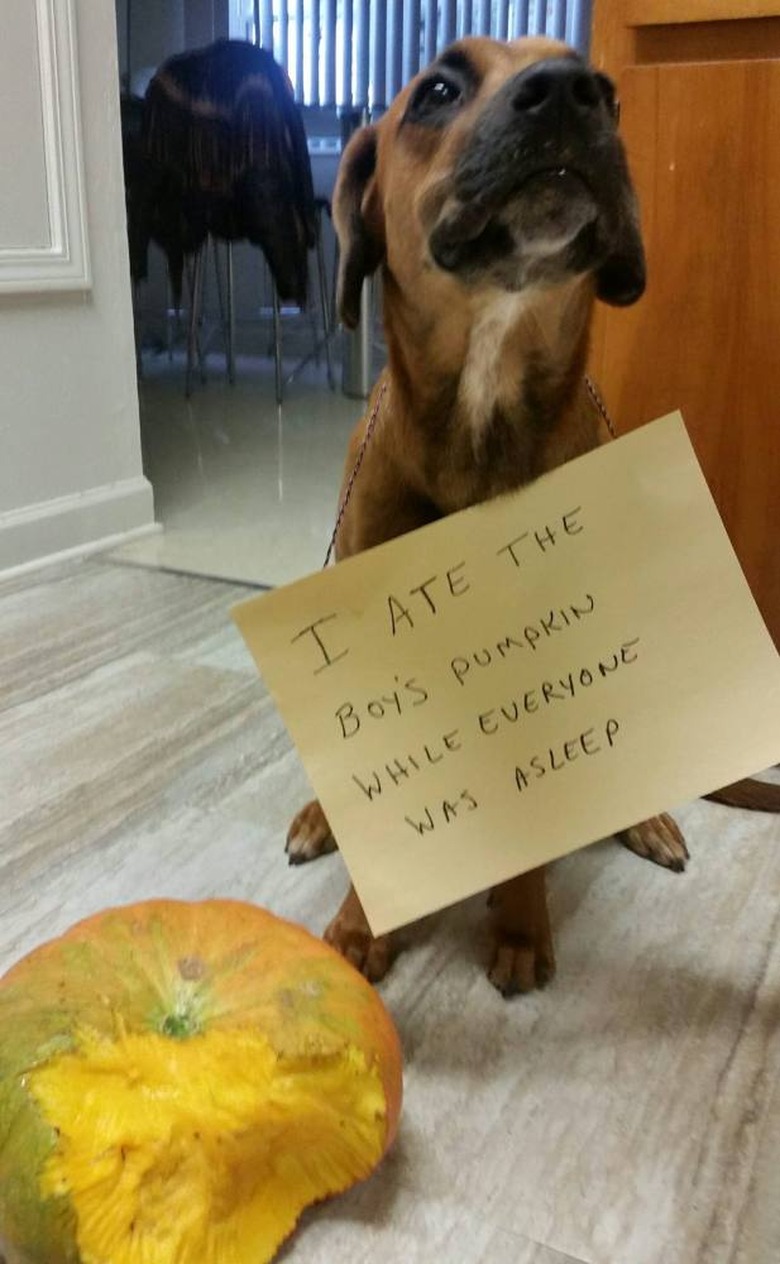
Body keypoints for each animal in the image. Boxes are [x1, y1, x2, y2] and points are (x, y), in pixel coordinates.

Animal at [283, 34, 682, 990]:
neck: (481, 407)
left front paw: (522, 924)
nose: (570, 92)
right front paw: (362, 925)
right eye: (436, 91)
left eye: (610, 93)